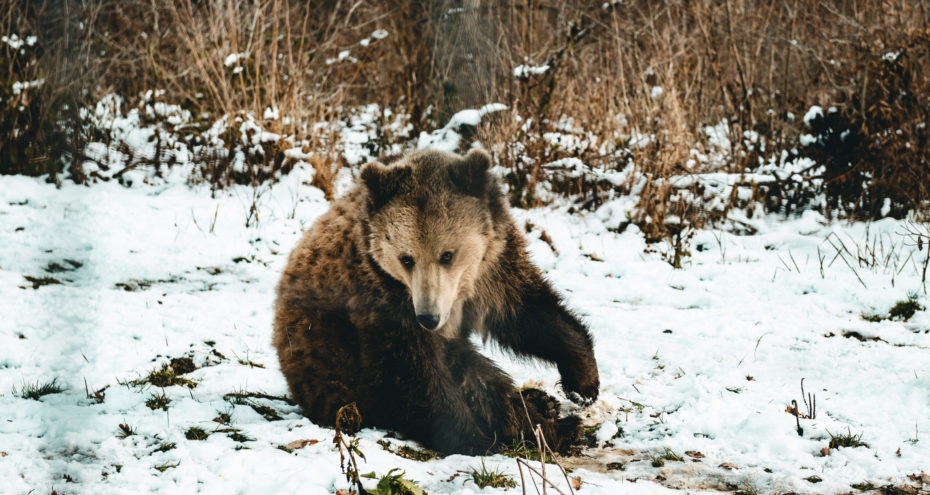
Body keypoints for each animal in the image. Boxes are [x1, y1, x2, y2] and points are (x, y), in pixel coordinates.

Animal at [272, 149, 600, 456]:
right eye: (406, 258)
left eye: (447, 254)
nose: (428, 318)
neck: (459, 293)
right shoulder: (381, 303)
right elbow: (419, 379)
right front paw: (473, 438)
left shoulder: (493, 269)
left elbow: (528, 314)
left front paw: (583, 384)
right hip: (336, 377)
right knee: (480, 381)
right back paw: (553, 425)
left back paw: (547, 410)